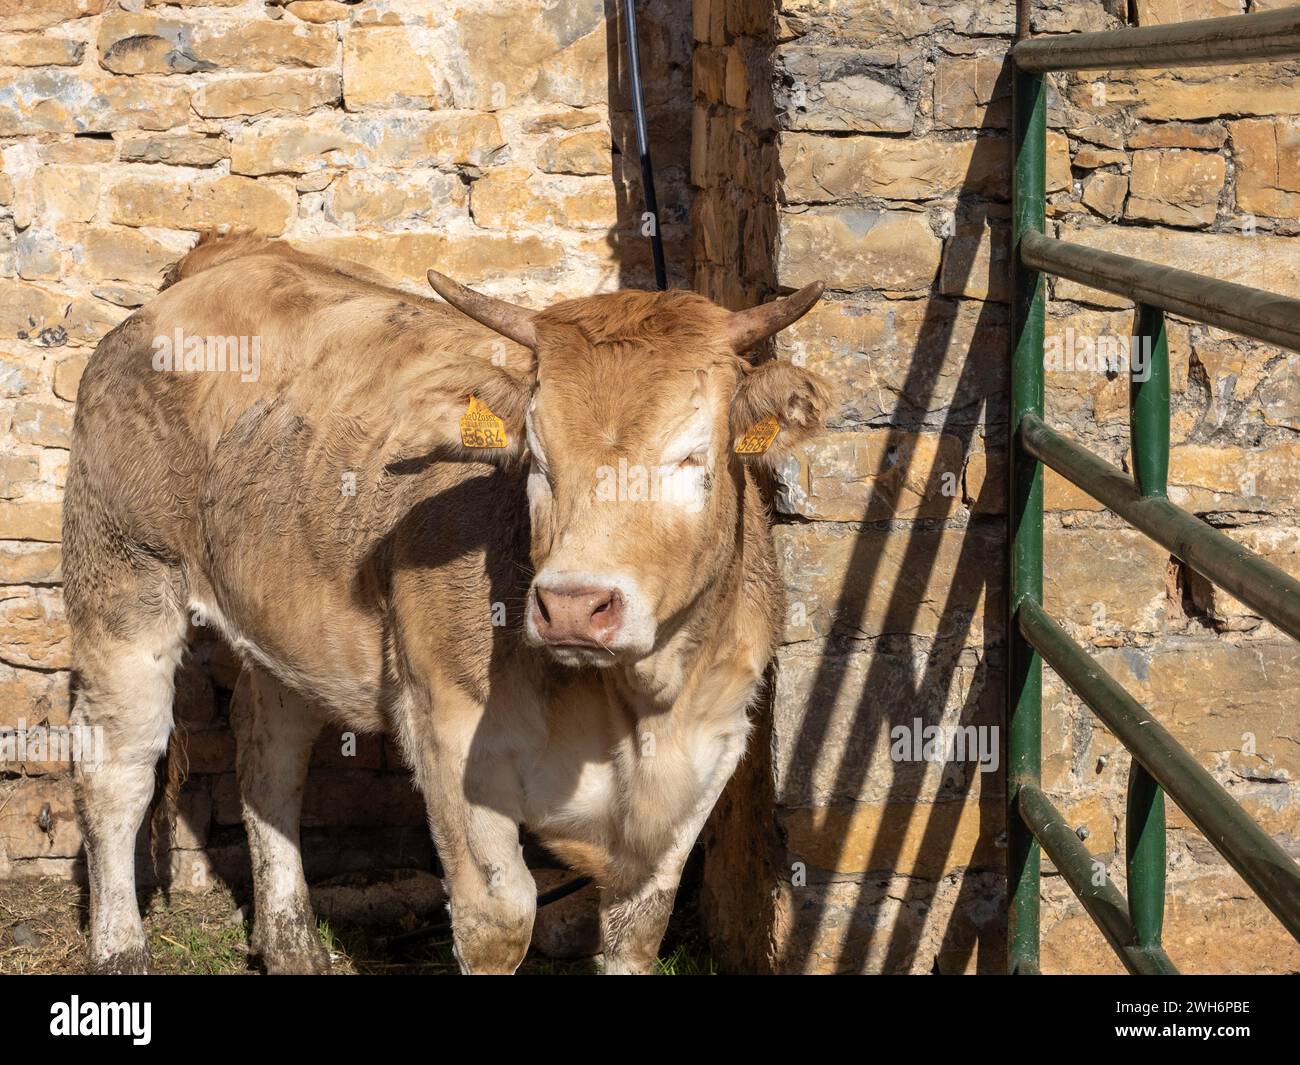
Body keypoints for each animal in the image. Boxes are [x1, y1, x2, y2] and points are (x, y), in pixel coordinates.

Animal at [63, 232, 821, 972]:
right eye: (537, 457)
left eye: (692, 457)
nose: (574, 607)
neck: (630, 703)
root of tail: (217, 261)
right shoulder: (448, 730)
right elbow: (499, 920)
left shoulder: (708, 748)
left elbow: (637, 932)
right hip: (123, 579)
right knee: (116, 767)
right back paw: (120, 948)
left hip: (286, 624)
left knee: (269, 752)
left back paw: (293, 944)